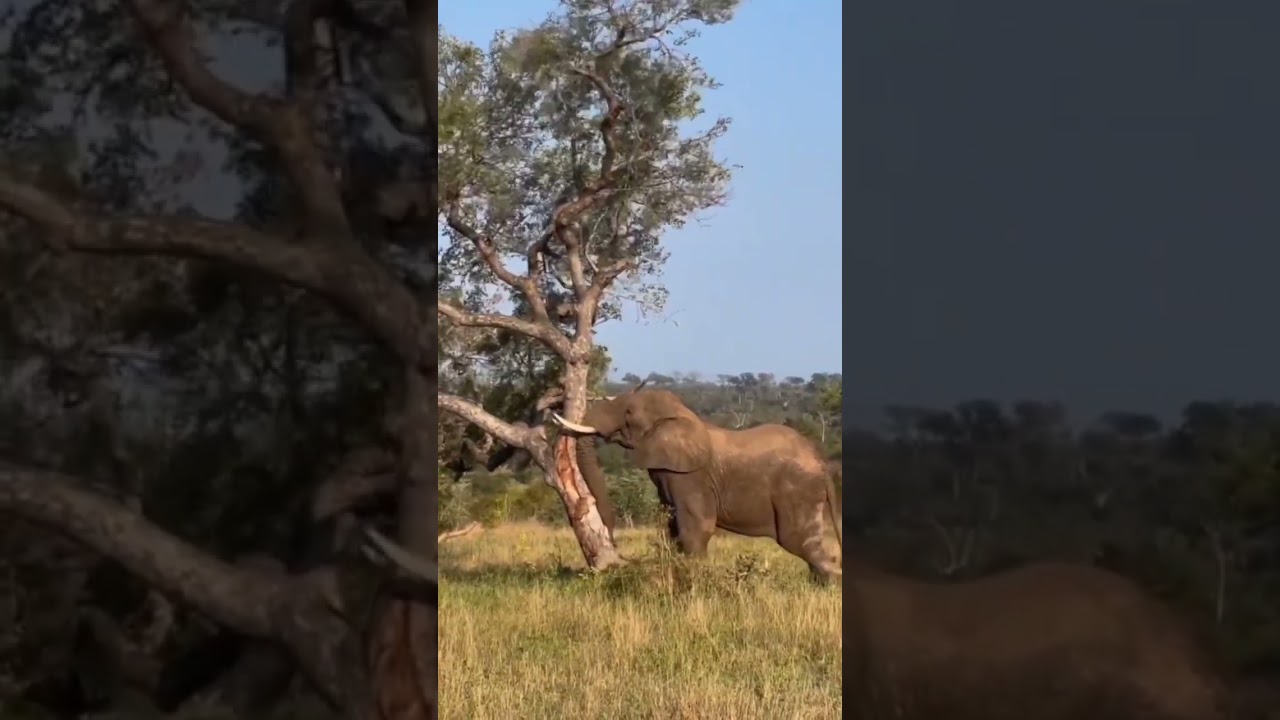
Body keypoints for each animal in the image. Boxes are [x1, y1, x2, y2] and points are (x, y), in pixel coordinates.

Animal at [550, 387, 843, 583]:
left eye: (629, 412)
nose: (614, 547)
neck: (680, 413)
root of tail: (821, 461)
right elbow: (672, 527)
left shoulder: (690, 475)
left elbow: (696, 527)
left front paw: (694, 583)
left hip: (797, 490)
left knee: (799, 541)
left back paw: (831, 584)